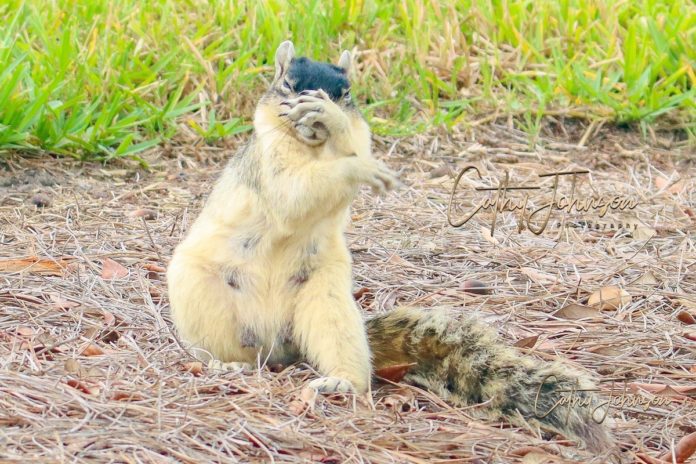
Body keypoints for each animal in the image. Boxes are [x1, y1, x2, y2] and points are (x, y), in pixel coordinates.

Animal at [167, 41, 613, 453]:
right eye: (288, 85)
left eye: (346, 92)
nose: (313, 112)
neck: (313, 151)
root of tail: (277, 346)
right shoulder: (269, 165)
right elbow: (292, 194)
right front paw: (357, 167)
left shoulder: (358, 135)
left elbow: (349, 146)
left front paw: (338, 129)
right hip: (200, 297)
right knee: (222, 348)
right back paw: (224, 365)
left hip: (326, 303)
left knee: (345, 358)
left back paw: (340, 383)